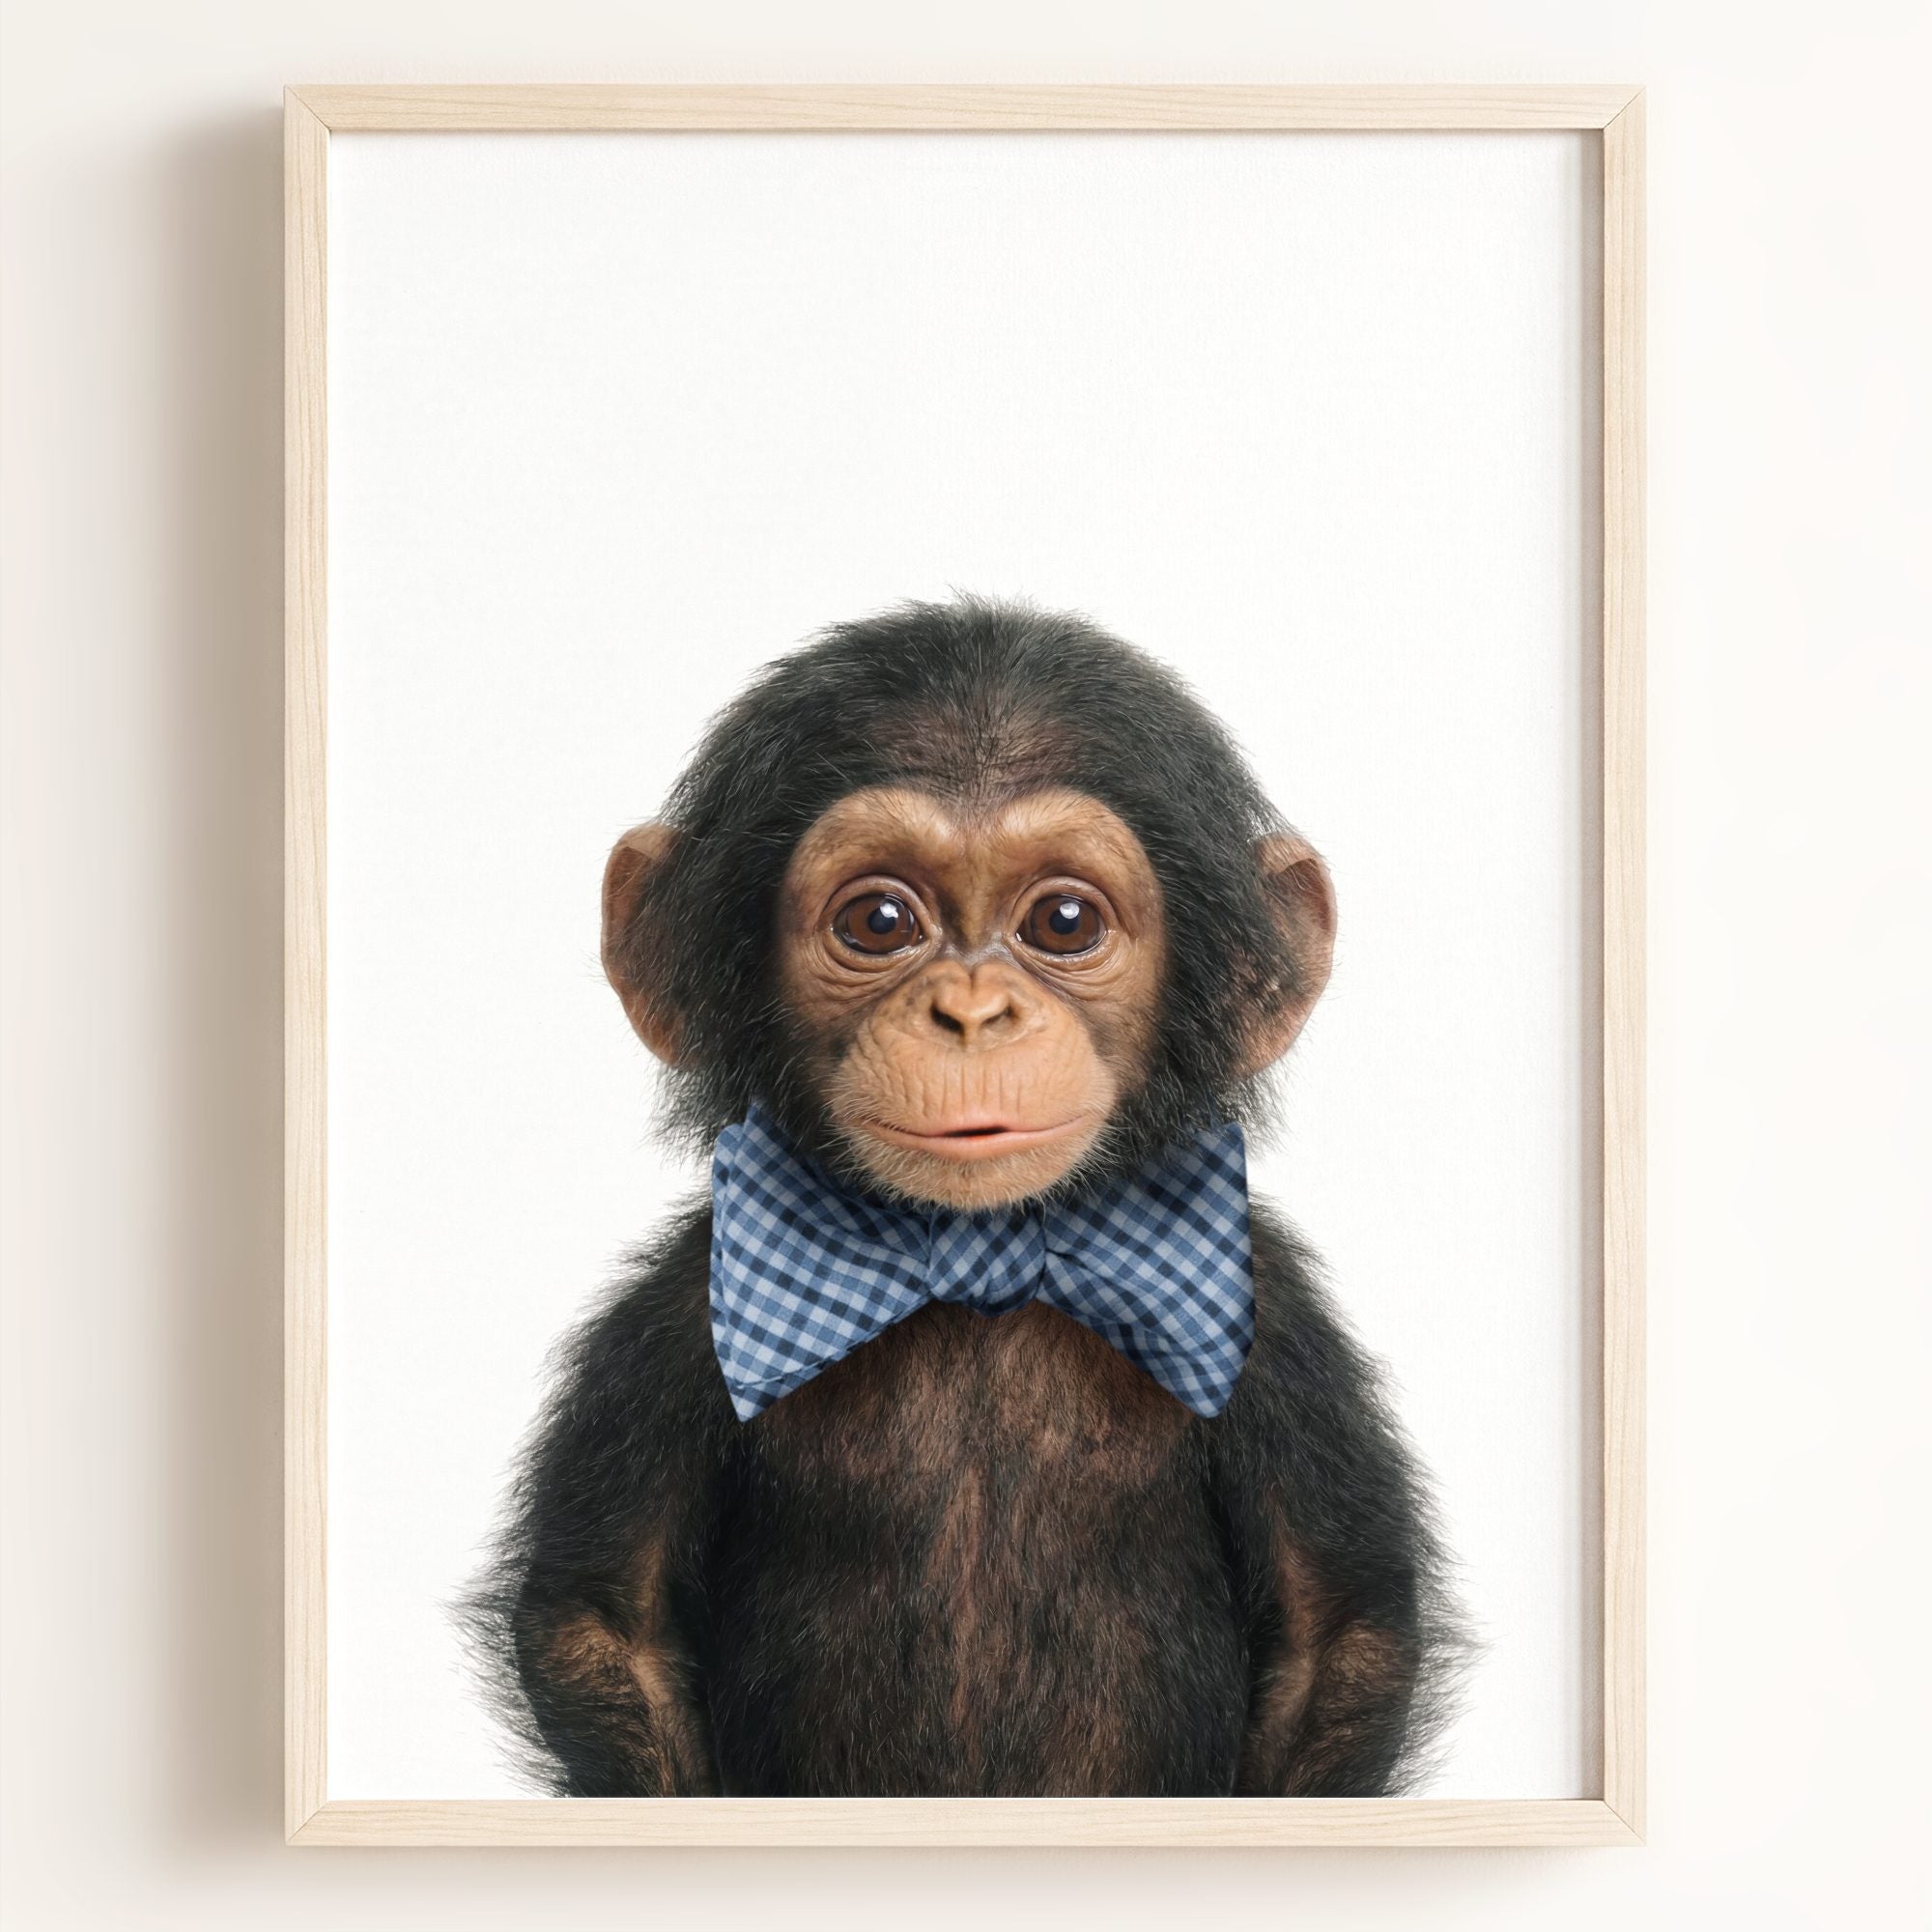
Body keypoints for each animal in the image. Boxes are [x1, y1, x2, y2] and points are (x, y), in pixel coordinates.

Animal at [464, 596, 1465, 1797]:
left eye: (1065, 921)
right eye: (880, 921)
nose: (973, 1012)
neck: (976, 1253)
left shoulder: (1272, 1326)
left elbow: (1336, 1632)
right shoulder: (671, 1318)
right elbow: (605, 1621)